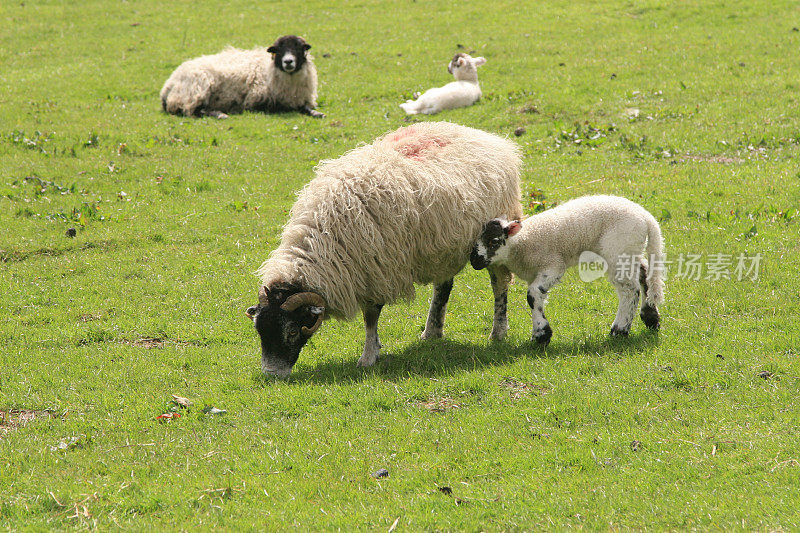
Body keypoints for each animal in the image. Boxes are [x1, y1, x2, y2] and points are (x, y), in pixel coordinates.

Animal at [159, 34, 322, 119]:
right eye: (278, 50)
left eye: (298, 48)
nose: (288, 61)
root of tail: (168, 85)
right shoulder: (255, 102)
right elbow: (282, 108)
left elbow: (306, 107)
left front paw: (317, 113)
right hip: (197, 89)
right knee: (192, 110)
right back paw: (220, 114)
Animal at [250, 121, 524, 378]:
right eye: (259, 330)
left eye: (292, 331)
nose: (271, 374)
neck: (323, 241)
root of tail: (488, 137)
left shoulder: (377, 270)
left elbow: (370, 317)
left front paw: (368, 356)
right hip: (442, 244)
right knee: (443, 286)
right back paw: (432, 331)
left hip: (495, 237)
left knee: (499, 283)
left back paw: (498, 332)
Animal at [472, 195, 664, 344]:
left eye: (493, 241)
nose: (474, 261)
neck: (523, 242)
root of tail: (647, 218)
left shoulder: (553, 265)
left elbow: (533, 295)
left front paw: (541, 335)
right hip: (630, 251)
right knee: (644, 274)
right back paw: (650, 317)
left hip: (619, 249)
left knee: (629, 290)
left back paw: (619, 330)